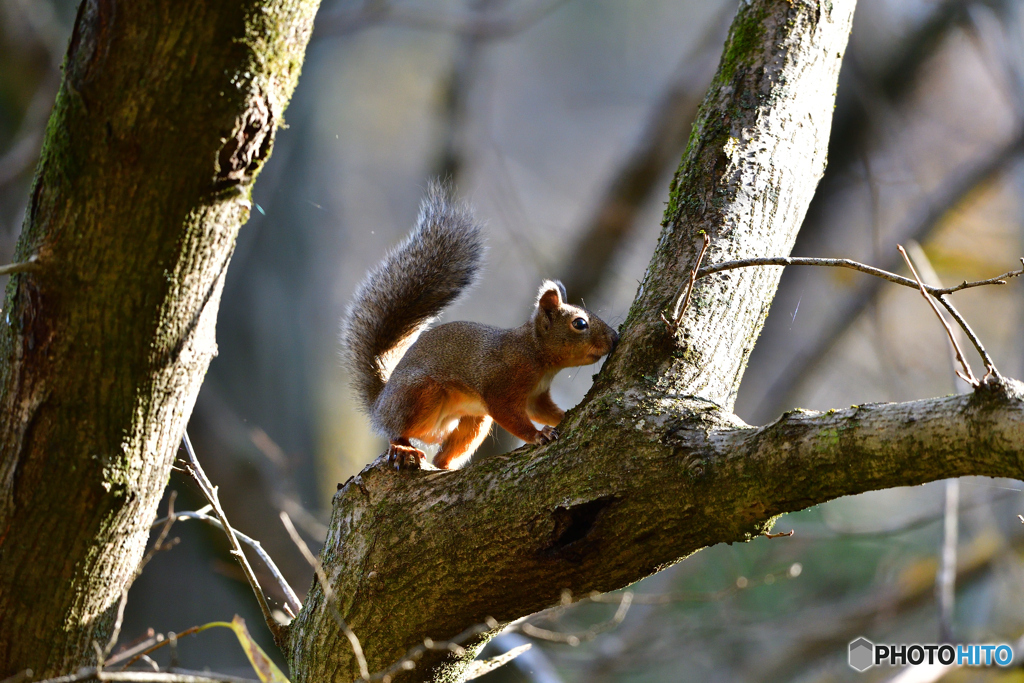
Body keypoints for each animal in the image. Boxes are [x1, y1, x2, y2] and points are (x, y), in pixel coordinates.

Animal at [339, 181, 618, 471]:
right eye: (580, 323)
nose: (615, 338)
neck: (536, 353)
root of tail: (380, 403)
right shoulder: (502, 382)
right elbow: (509, 414)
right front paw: (537, 435)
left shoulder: (536, 396)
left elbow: (542, 411)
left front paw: (563, 416)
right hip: (421, 393)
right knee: (397, 430)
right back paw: (403, 447)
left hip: (474, 422)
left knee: (441, 455)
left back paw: (446, 467)